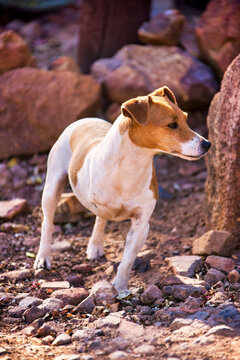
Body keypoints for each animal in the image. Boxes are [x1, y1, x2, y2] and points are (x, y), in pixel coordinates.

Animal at [33, 86, 210, 292]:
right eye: (172, 125)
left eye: (186, 118)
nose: (207, 144)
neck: (131, 167)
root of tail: (85, 119)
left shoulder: (141, 225)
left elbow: (127, 261)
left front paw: (119, 288)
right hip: (52, 188)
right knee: (48, 223)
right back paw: (43, 257)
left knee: (100, 220)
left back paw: (95, 246)